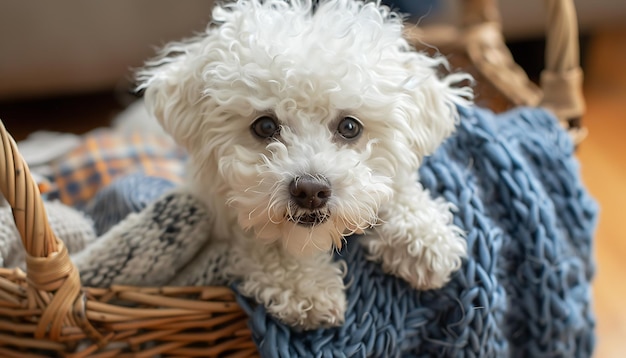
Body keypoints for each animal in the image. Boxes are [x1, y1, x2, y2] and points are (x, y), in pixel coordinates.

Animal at [136, 0, 468, 330]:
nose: (311, 191)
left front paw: (422, 239)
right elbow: (262, 238)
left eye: (350, 127)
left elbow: (396, 187)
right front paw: (307, 288)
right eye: (265, 126)